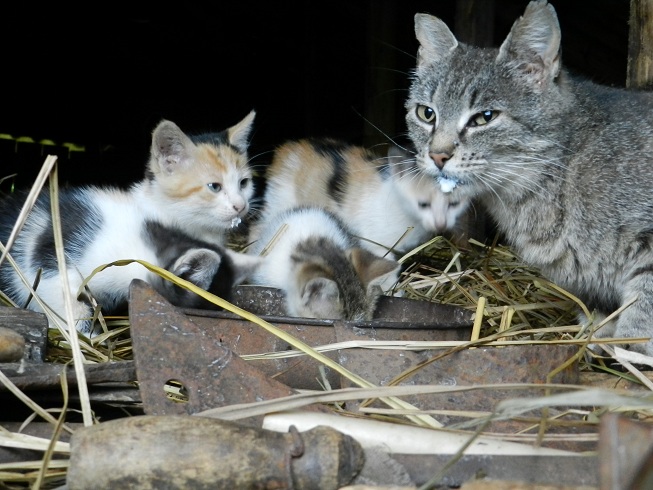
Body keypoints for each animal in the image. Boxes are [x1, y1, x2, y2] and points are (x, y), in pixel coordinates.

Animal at [259, 137, 469, 259]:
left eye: (454, 204)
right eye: (423, 204)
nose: (441, 224)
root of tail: (286, 148)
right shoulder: (376, 245)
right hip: (280, 200)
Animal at [405, 0, 653, 356]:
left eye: (485, 117)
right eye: (426, 113)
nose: (438, 156)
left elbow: (642, 313)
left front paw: (630, 354)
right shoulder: (588, 288)